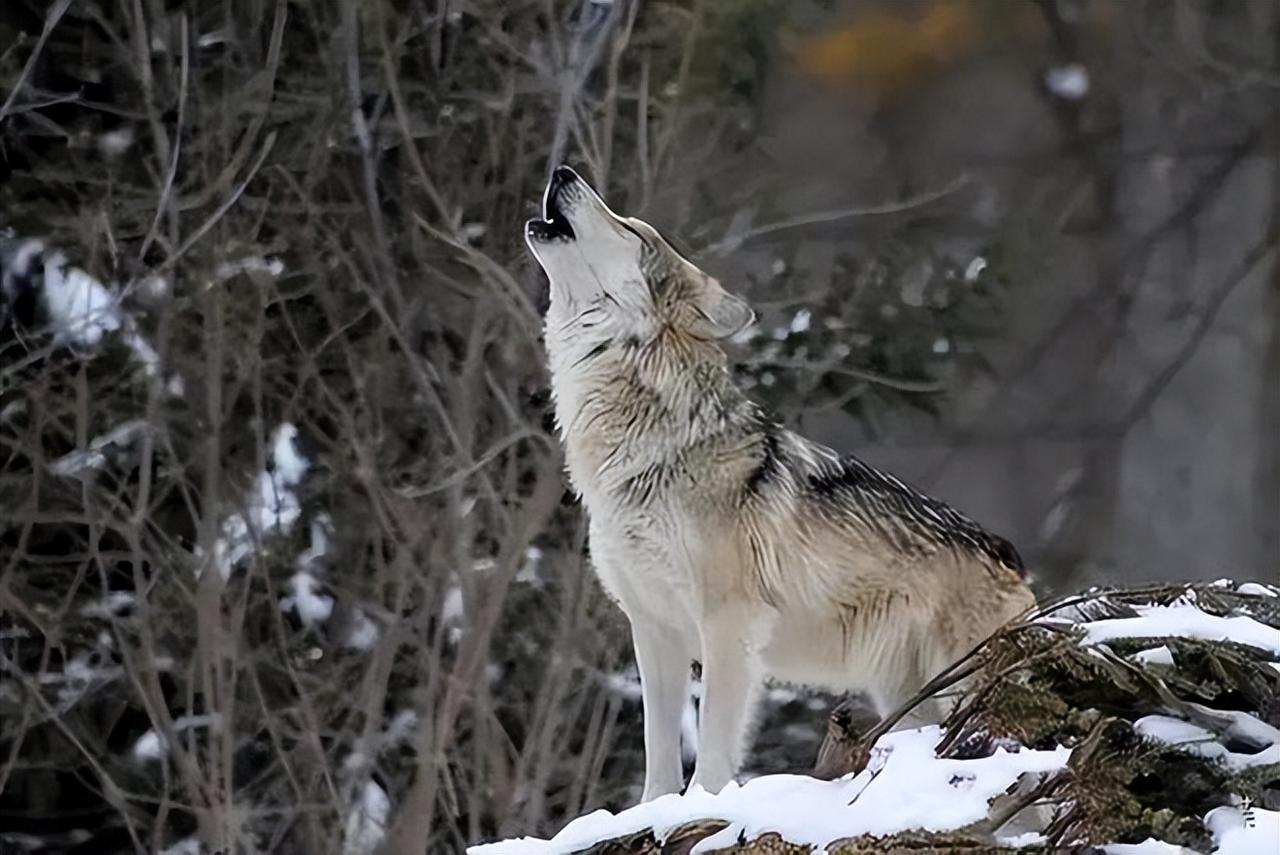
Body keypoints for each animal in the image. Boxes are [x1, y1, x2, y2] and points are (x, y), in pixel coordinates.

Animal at [524, 165, 1034, 803]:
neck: (651, 450)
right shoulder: (654, 630)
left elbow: (713, 750)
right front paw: (652, 812)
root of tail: (1011, 559)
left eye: (631, 229)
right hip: (908, 702)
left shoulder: (730, 626)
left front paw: (702, 806)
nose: (562, 171)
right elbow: (658, 756)